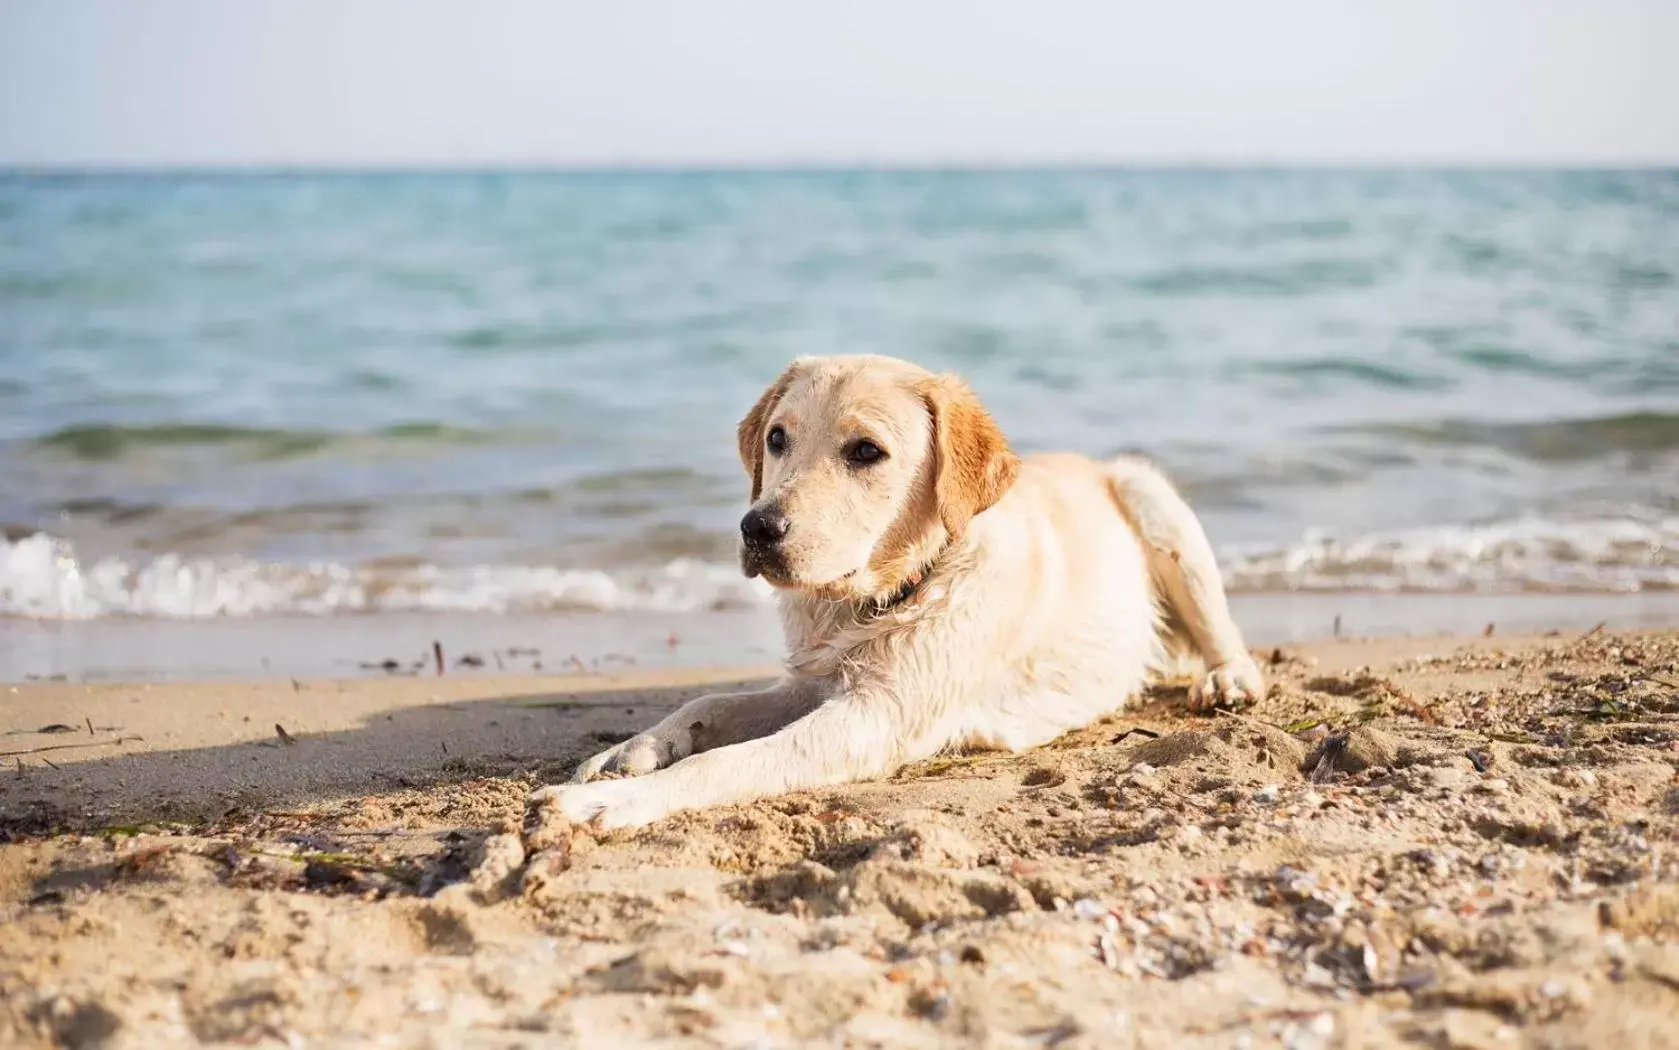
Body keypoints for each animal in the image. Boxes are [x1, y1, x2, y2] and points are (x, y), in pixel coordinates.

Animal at [527, 356, 1262, 829]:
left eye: (865, 451)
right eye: (777, 437)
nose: (757, 527)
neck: (890, 591)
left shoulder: (874, 717)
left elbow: (726, 764)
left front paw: (611, 805)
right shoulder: (814, 681)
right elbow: (709, 703)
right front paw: (630, 752)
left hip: (1151, 497)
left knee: (1225, 635)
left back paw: (1227, 679)